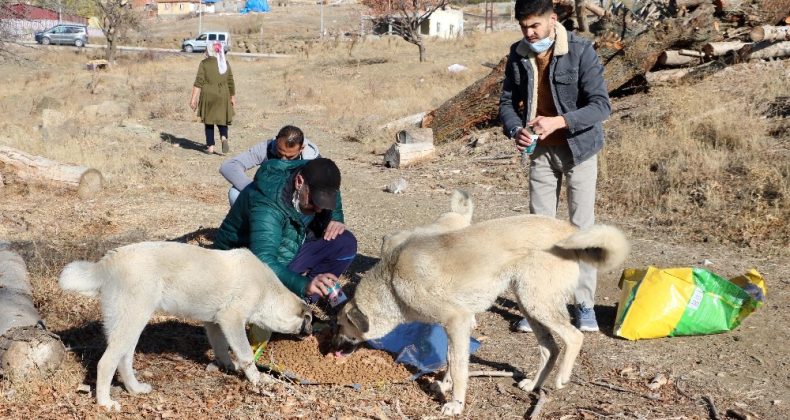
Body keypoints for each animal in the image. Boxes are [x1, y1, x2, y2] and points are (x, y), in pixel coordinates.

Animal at [58, 241, 312, 412]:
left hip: (130, 326)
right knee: (106, 363)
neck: (268, 292)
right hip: (132, 323)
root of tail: (107, 261)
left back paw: (135, 389)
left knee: (123, 360)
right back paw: (105, 403)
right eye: (307, 322)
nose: (308, 334)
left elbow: (222, 348)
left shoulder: (215, 323)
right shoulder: (232, 319)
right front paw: (258, 380)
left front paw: (228, 367)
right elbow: (246, 355)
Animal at [334, 215, 632, 416]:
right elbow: (452, 359)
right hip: (529, 304)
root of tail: (569, 229)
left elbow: (458, 366)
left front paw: (455, 403)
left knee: (574, 337)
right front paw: (445, 385)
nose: (330, 349)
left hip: (538, 304)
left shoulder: (457, 320)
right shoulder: (456, 327)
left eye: (340, 326)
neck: (392, 281)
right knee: (550, 348)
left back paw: (562, 378)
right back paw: (534, 384)